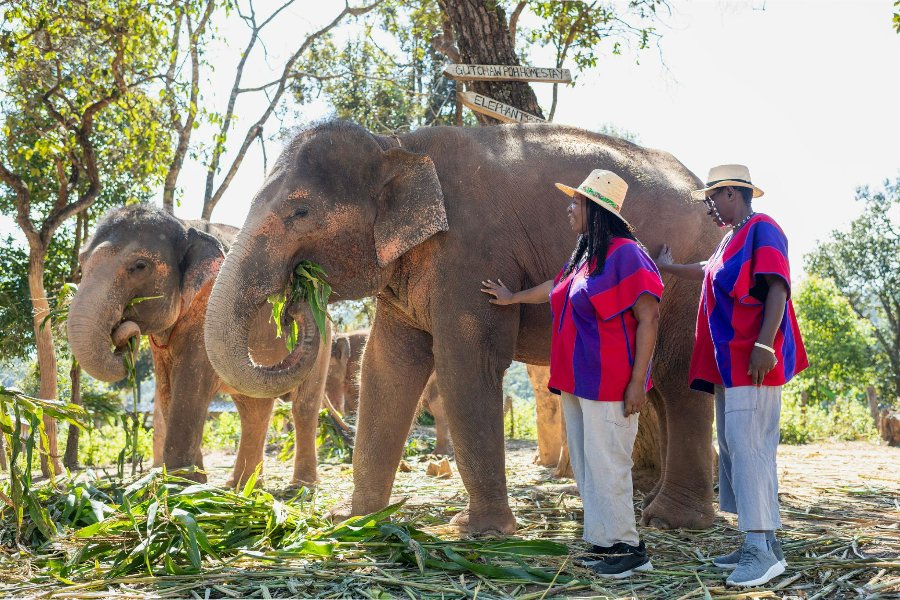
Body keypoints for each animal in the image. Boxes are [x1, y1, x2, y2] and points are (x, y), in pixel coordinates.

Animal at [67, 205, 330, 487]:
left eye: (139, 266)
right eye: (81, 262)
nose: (125, 335)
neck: (184, 225)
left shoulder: (208, 307)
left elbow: (190, 382)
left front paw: (181, 484)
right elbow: (166, 388)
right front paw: (195, 482)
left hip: (324, 340)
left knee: (303, 406)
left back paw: (300, 485)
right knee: (254, 407)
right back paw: (242, 485)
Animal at [203, 120, 721, 533]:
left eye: (300, 212)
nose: (297, 297)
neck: (397, 145)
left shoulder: (471, 251)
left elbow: (466, 365)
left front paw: (478, 531)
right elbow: (385, 369)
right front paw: (352, 520)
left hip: (688, 287)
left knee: (678, 380)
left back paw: (672, 520)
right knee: (658, 390)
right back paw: (653, 506)